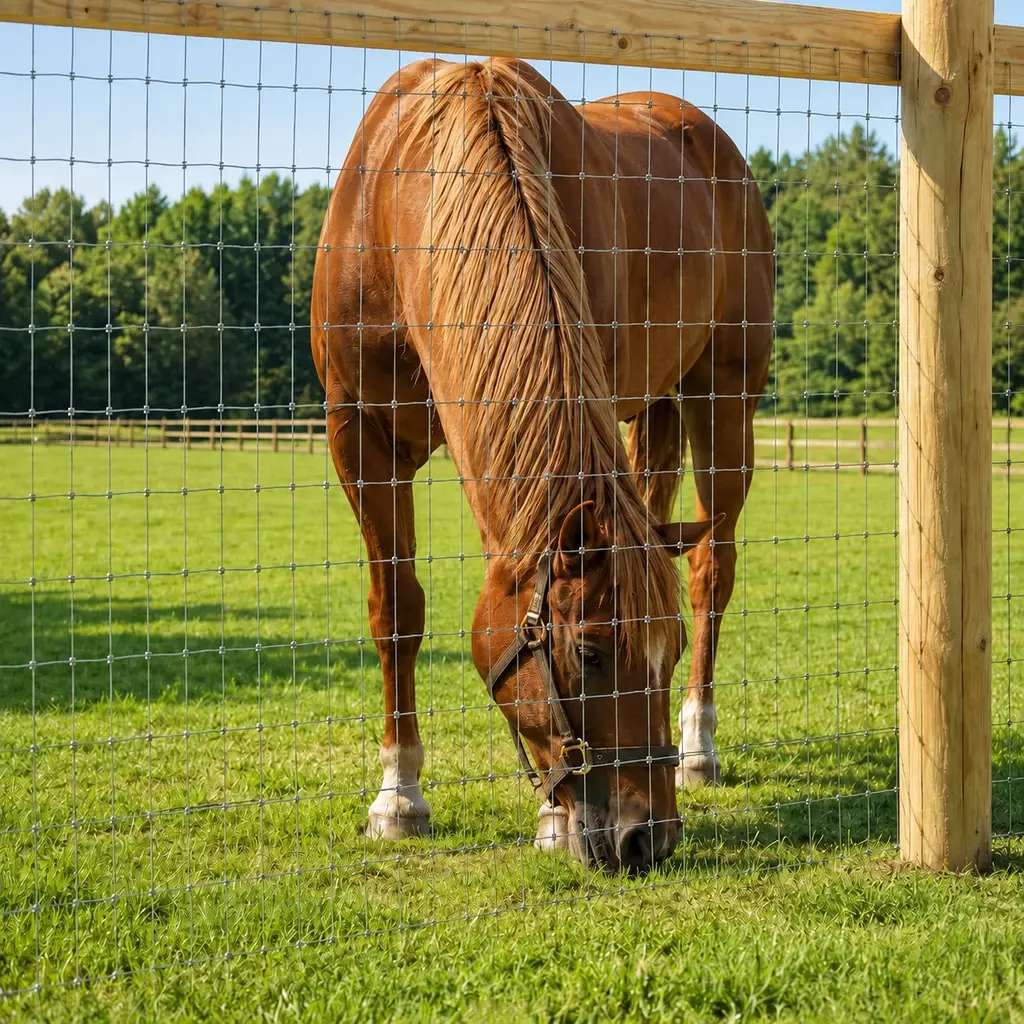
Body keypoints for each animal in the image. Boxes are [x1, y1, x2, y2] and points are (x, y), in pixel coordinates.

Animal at [310, 56, 774, 873]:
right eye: (589, 654)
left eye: (667, 653)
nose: (648, 838)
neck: (405, 204)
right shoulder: (358, 437)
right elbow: (395, 610)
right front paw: (399, 796)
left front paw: (550, 819)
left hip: (722, 402)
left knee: (710, 573)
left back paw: (698, 747)